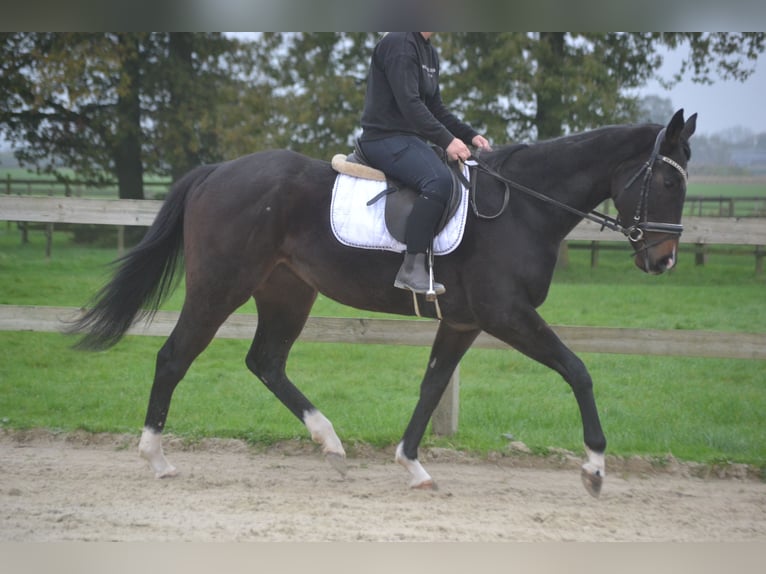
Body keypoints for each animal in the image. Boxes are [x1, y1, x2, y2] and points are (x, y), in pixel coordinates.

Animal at [69, 110, 700, 498]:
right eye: (670, 183)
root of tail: (216, 172)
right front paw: (594, 468)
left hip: (286, 291)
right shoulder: (507, 315)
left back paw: (330, 443)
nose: (664, 260)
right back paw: (156, 458)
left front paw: (413, 465)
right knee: (175, 357)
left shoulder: (465, 321)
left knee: (265, 362)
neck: (522, 206)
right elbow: (578, 370)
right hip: (219, 286)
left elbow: (432, 385)